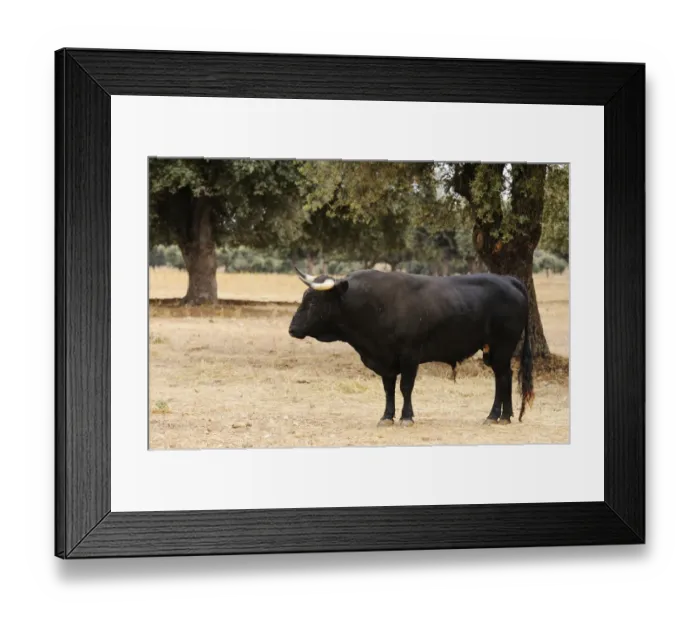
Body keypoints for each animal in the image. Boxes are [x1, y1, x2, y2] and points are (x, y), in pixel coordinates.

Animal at [288, 267, 534, 427]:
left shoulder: (410, 356)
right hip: (492, 351)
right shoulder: (385, 360)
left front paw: (406, 417)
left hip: (502, 347)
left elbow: (405, 387)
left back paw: (498, 416)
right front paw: (387, 416)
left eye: (313, 301)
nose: (292, 328)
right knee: (503, 378)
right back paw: (501, 415)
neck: (374, 305)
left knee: (503, 377)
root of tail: (509, 280)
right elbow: (388, 389)